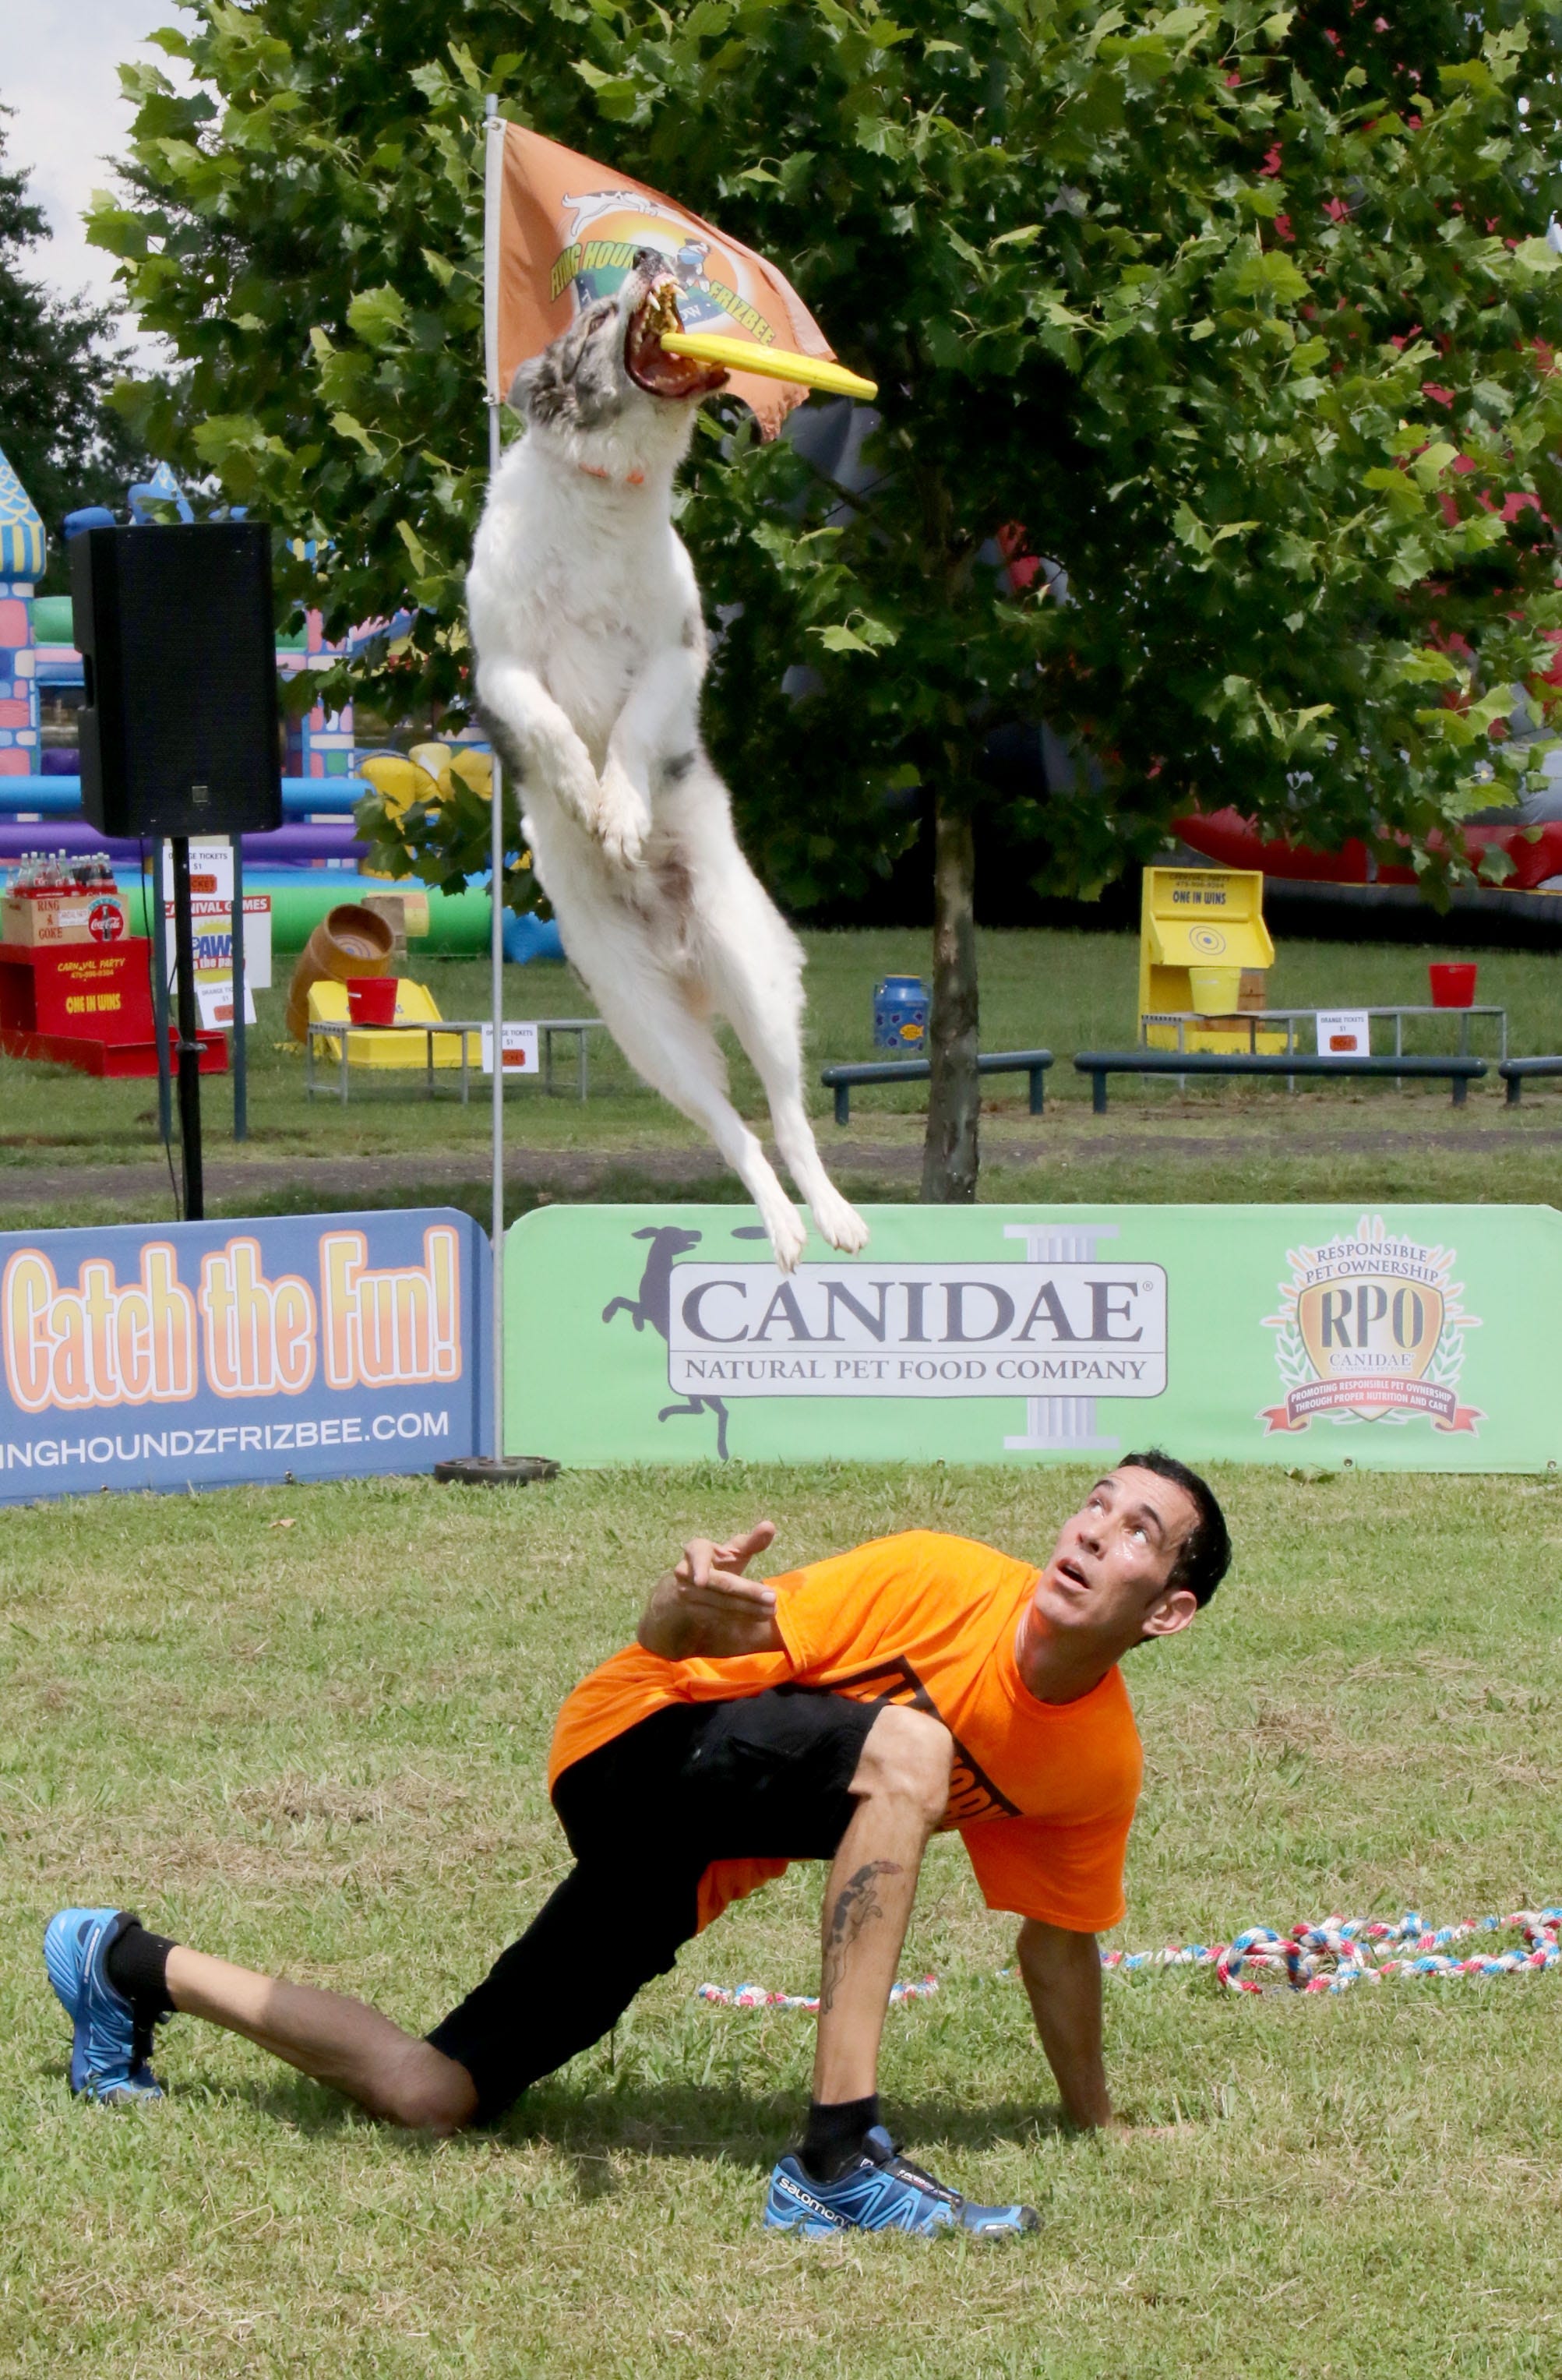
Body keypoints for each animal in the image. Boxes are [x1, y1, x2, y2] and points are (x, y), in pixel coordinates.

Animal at [469, 251, 871, 1275]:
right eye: (595, 316)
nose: (652, 254)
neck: (604, 499)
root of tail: (679, 952)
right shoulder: (504, 668)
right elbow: (556, 730)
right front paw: (586, 804)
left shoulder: (674, 655)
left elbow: (631, 731)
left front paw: (620, 811)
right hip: (647, 1026)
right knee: (730, 1127)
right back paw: (779, 1228)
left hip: (747, 967)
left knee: (786, 1115)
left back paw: (827, 1217)